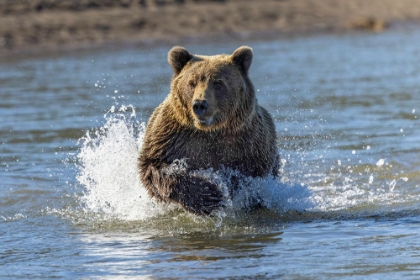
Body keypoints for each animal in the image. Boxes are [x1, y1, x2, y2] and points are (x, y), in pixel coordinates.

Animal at [139, 46, 280, 214]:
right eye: (192, 82)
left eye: (218, 83)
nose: (200, 104)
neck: (210, 131)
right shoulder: (171, 138)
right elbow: (155, 167)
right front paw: (209, 194)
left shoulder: (250, 143)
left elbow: (251, 177)